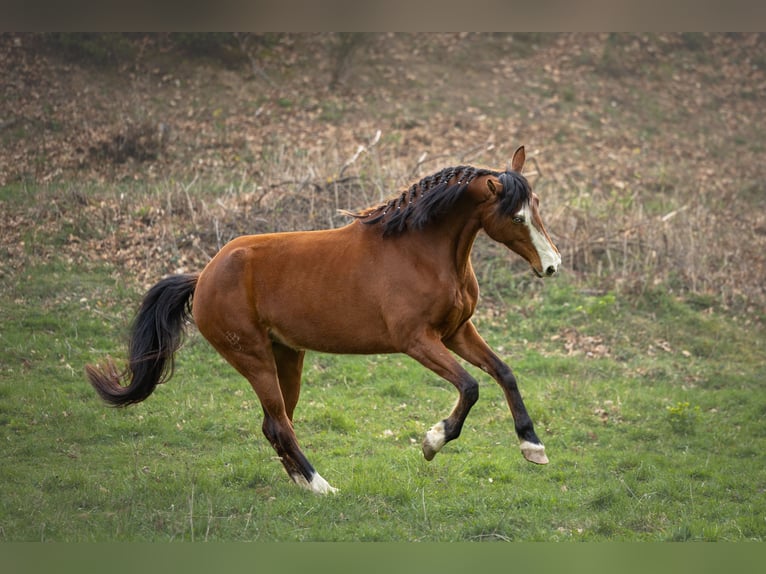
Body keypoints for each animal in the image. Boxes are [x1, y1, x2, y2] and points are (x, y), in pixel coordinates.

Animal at [86, 146, 561, 494]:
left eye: (537, 203)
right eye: (516, 215)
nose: (552, 265)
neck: (421, 250)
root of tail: (202, 276)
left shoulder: (457, 332)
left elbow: (504, 372)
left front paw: (532, 446)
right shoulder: (417, 341)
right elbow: (470, 386)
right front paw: (432, 442)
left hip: (286, 357)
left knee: (274, 424)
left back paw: (302, 484)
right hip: (255, 360)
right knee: (279, 423)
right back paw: (321, 486)